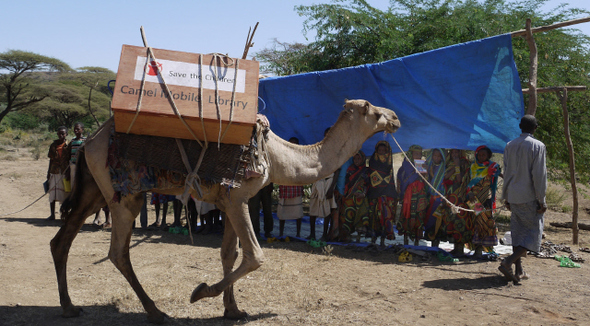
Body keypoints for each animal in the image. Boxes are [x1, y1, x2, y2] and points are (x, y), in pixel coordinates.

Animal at [51, 98, 402, 322]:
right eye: (370, 110)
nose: (395, 116)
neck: (276, 156)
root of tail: (90, 140)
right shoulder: (237, 199)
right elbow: (255, 256)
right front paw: (201, 292)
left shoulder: (231, 201)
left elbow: (230, 254)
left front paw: (233, 310)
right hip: (125, 194)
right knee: (118, 252)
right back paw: (155, 312)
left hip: (94, 189)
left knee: (62, 240)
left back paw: (69, 307)